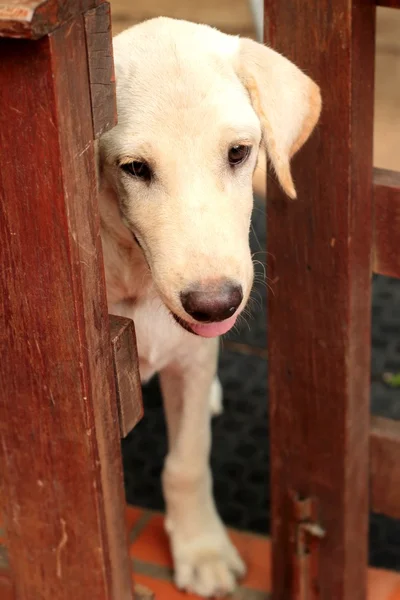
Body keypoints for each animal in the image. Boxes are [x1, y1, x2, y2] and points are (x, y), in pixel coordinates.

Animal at [99, 16, 322, 596]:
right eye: (134, 168)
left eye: (239, 153)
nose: (215, 305)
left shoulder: (193, 360)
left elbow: (188, 460)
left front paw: (202, 548)